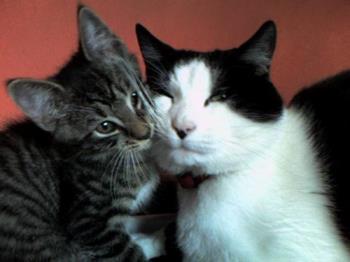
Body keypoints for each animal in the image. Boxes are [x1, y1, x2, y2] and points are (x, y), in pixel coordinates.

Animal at [0, 6, 163, 262]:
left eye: (135, 97)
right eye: (105, 127)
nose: (145, 133)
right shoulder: (89, 225)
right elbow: (128, 253)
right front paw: (155, 243)